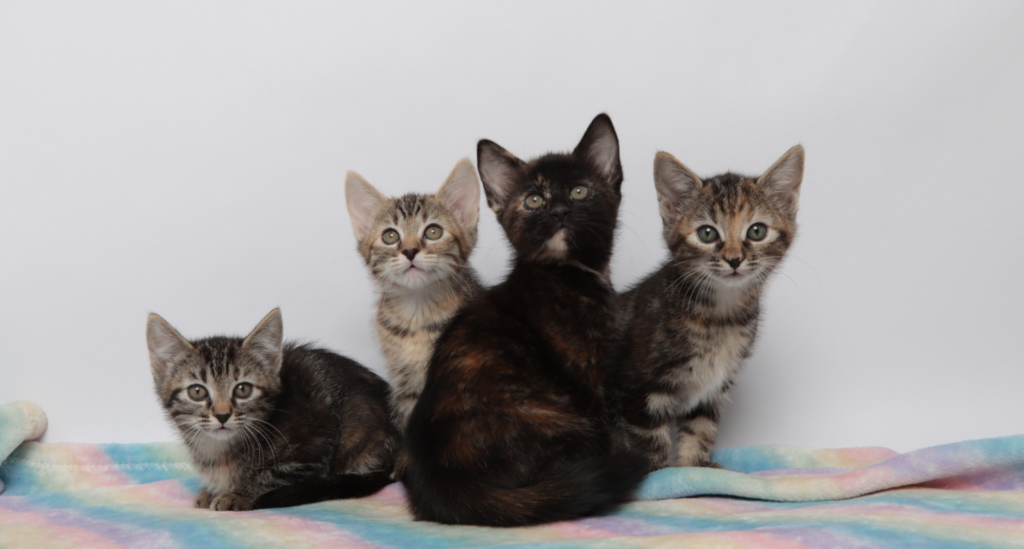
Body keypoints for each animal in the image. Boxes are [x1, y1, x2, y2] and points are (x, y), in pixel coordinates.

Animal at [147, 309, 399, 510]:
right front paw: (213, 490)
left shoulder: (312, 453)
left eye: (243, 389)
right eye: (197, 391)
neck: (221, 451)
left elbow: (271, 476)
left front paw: (239, 494)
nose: (222, 415)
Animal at [401, 112, 647, 528]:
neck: (566, 272)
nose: (559, 211)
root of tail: (446, 482)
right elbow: (611, 426)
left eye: (579, 191)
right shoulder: (589, 375)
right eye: (534, 200)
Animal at [610, 145, 802, 471]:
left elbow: (700, 429)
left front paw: (695, 468)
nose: (735, 259)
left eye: (757, 231)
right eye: (707, 234)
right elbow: (650, 444)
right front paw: (659, 477)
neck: (719, 316)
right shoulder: (636, 390)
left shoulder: (712, 387)